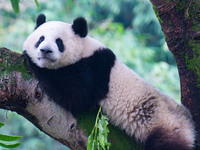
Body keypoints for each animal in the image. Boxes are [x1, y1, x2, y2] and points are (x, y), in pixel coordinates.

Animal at [22, 14, 195, 150]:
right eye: (40, 39)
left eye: (59, 42)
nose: (45, 51)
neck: (84, 49)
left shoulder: (96, 69)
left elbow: (75, 96)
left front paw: (29, 58)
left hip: (166, 125)